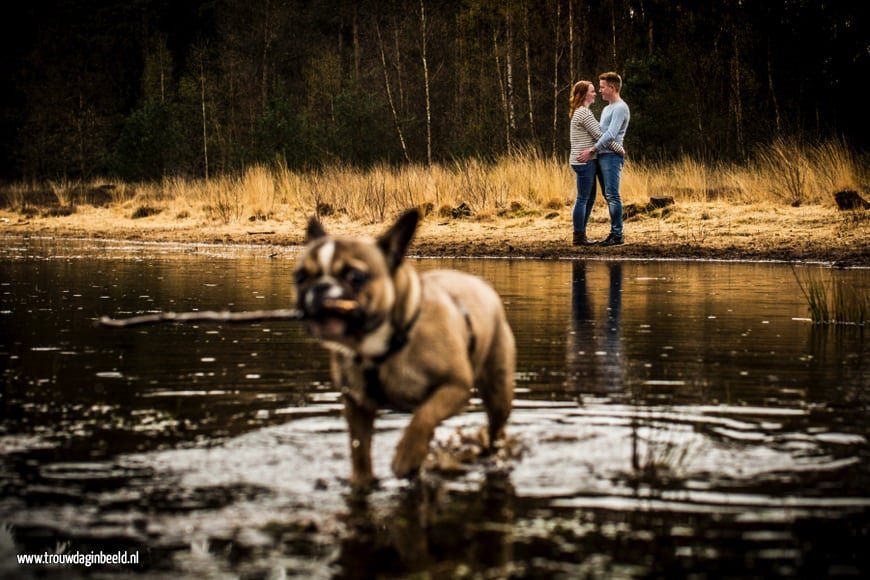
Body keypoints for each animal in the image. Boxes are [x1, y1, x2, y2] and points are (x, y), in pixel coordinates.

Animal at [298, 208, 516, 490]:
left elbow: (423, 417)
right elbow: (359, 449)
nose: (320, 287)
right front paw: (362, 481)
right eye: (300, 276)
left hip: (497, 389)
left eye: (355, 277)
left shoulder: (454, 386)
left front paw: (405, 457)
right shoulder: (357, 404)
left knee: (495, 427)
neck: (379, 346)